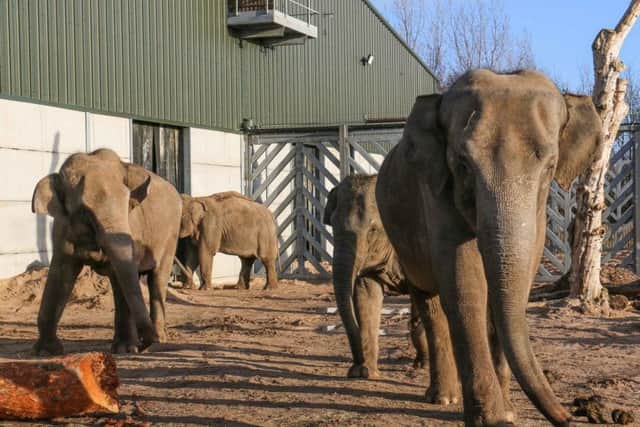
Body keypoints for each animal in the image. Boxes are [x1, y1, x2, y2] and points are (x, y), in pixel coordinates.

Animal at [31, 148, 182, 355]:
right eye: (85, 212)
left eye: (128, 205)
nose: (143, 345)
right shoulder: (63, 228)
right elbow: (60, 273)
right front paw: (46, 351)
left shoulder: (131, 227)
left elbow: (121, 275)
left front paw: (125, 349)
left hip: (170, 236)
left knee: (158, 278)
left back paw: (159, 339)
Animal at [323, 174, 429, 381]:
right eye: (333, 226)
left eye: (373, 230)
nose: (357, 365)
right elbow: (366, 295)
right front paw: (365, 373)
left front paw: (424, 366)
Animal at [376, 69, 601, 426]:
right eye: (463, 164)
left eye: (550, 167)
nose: (570, 416)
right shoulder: (436, 191)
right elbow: (464, 282)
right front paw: (492, 420)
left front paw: (508, 412)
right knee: (428, 298)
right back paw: (443, 397)